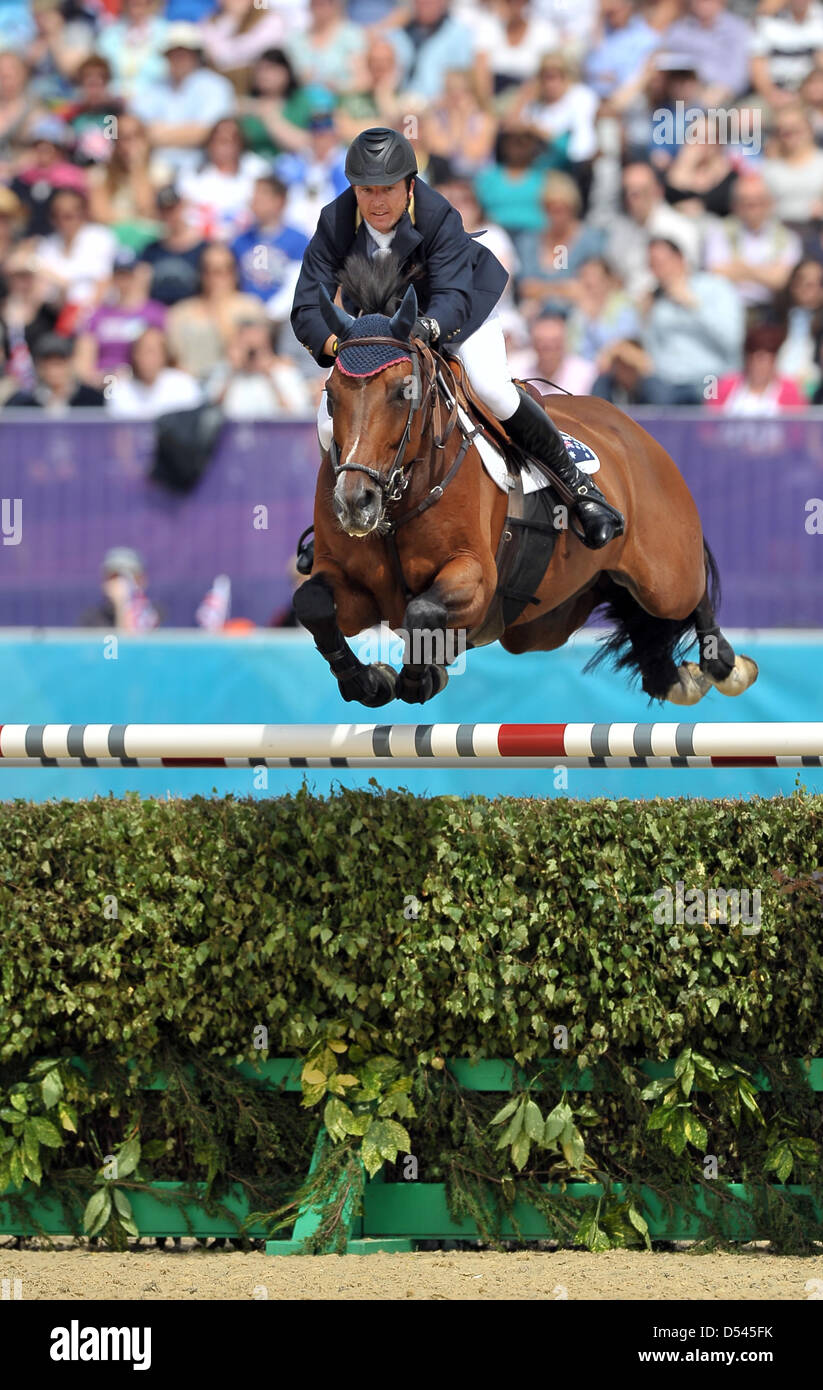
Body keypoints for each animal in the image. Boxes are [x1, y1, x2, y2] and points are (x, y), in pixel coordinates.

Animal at [294, 252, 756, 706]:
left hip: (664, 575)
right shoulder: (353, 588)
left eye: (401, 391)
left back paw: (723, 663)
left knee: (689, 594)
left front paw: (419, 677)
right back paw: (672, 676)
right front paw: (371, 681)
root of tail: (631, 430)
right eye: (331, 395)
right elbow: (312, 602)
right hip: (546, 622)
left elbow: (422, 612)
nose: (356, 504)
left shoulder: (476, 576)